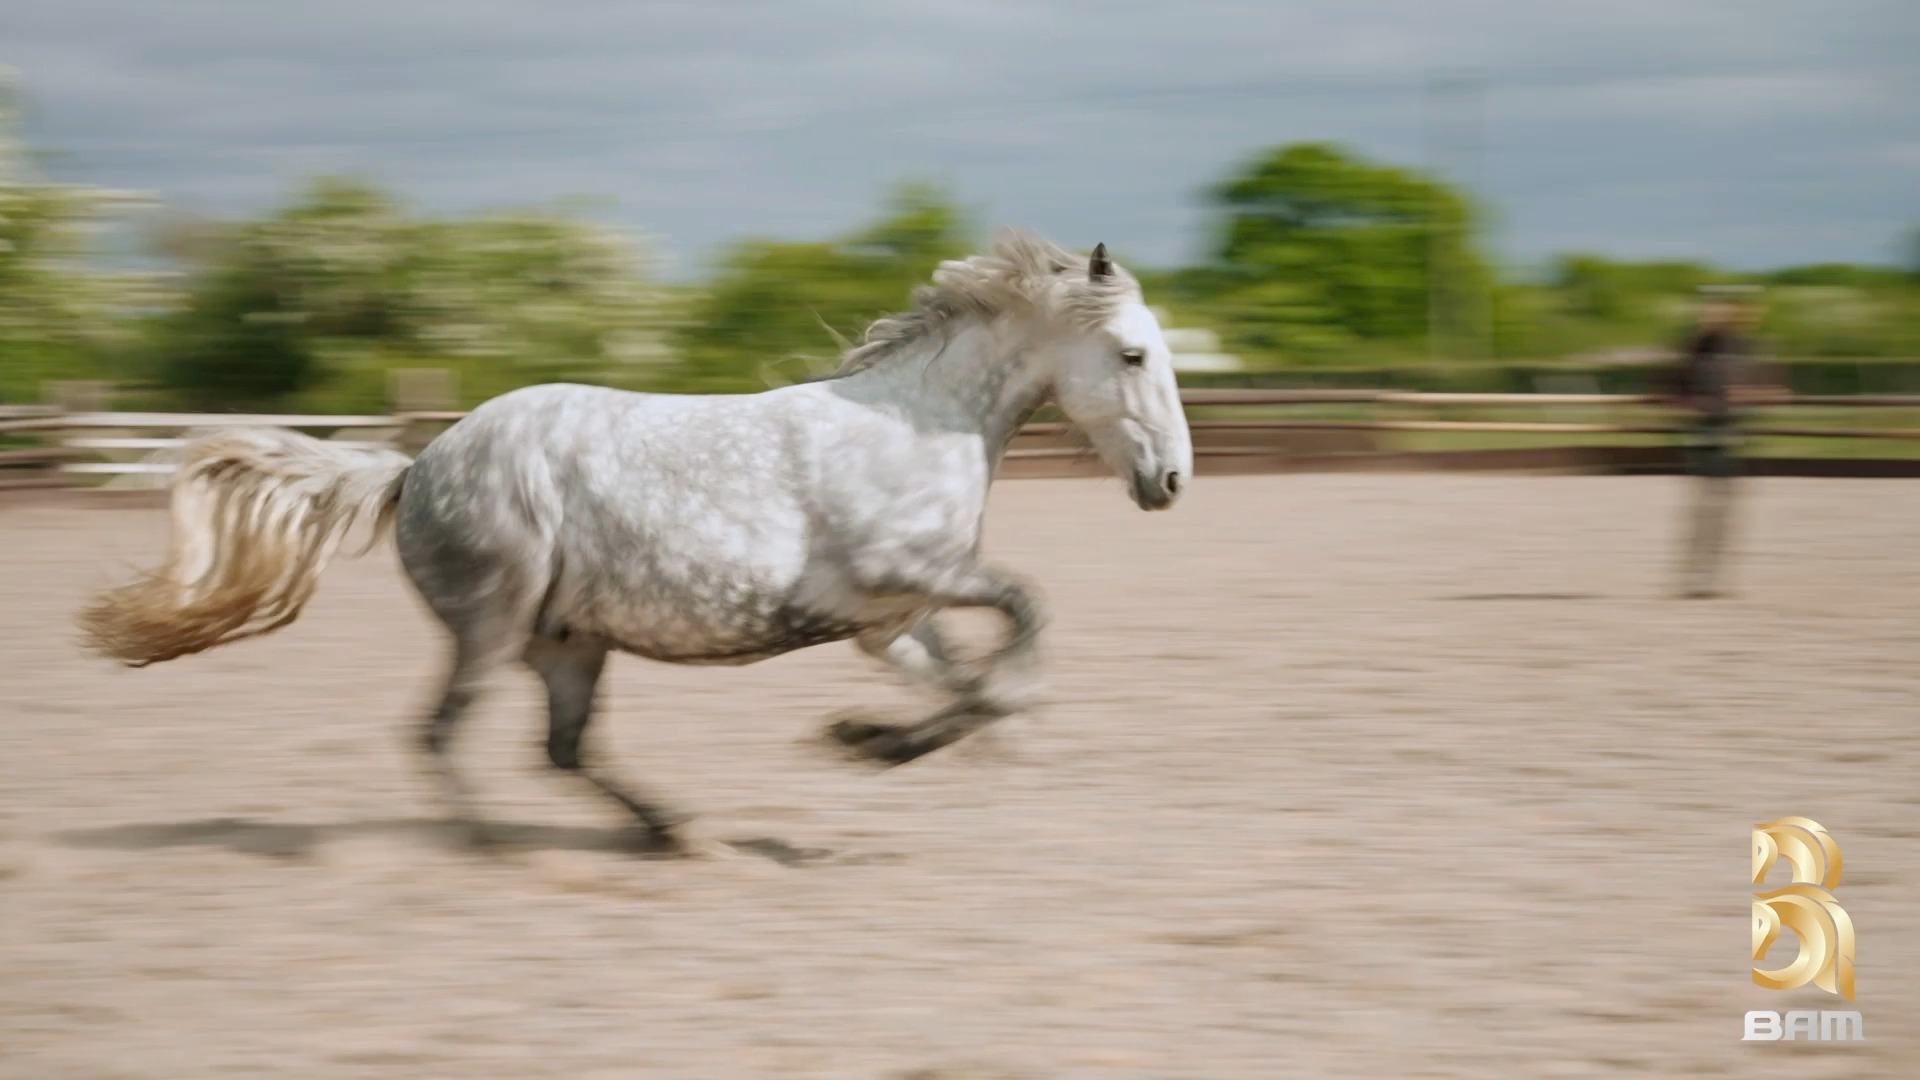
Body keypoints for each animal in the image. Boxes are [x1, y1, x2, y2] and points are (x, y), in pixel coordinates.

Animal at [77, 228, 1194, 854]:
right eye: (1133, 355)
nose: (1172, 482)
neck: (917, 426)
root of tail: (416, 465)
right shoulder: (906, 577)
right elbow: (1024, 618)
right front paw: (877, 739)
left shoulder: (889, 621)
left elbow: (972, 690)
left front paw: (866, 740)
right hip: (491, 628)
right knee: (441, 735)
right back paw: (492, 847)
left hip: (570, 643)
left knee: (562, 751)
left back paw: (671, 831)